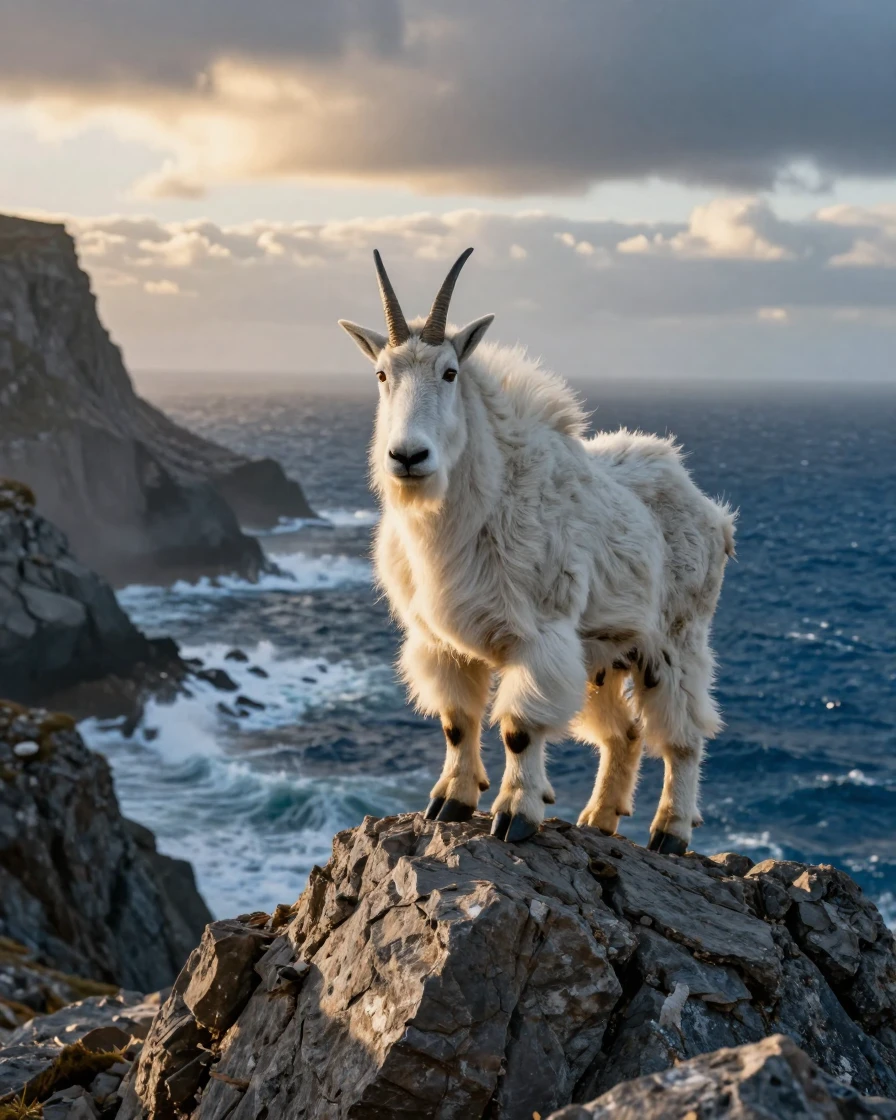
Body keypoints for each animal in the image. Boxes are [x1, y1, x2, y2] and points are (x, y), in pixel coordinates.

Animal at [339, 249, 735, 851]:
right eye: (382, 374)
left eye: (450, 372)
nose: (408, 456)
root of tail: (711, 512)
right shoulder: (441, 643)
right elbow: (457, 721)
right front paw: (450, 802)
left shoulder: (540, 636)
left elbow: (520, 729)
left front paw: (514, 816)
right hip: (603, 652)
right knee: (623, 734)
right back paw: (598, 818)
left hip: (676, 639)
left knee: (684, 732)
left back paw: (669, 831)